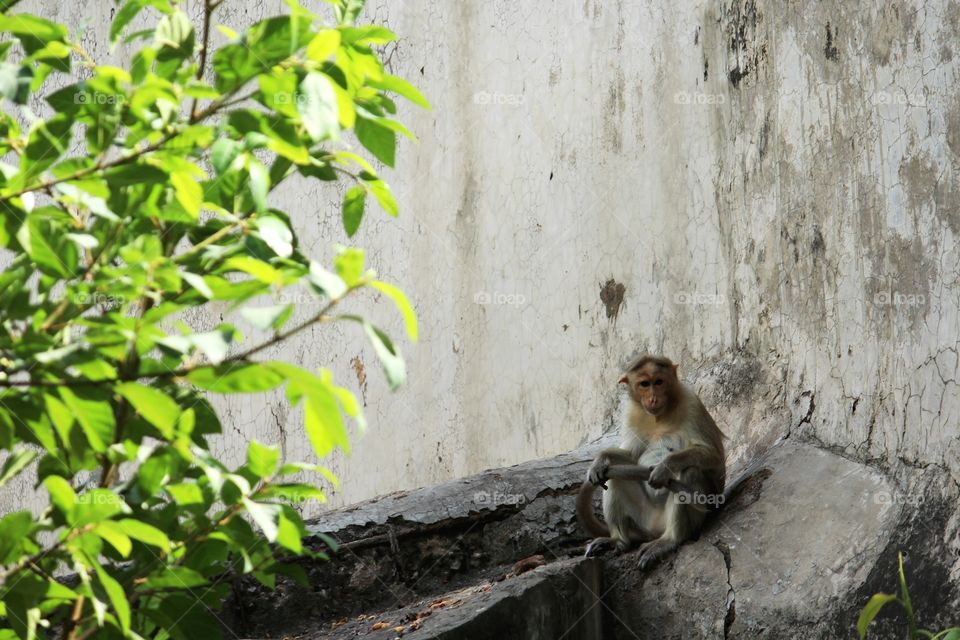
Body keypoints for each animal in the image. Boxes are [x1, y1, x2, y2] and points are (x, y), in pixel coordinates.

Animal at [576, 355, 725, 569]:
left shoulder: (691, 403)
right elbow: (631, 455)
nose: (653, 398)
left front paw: (665, 467)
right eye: (644, 384)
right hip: (643, 518)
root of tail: (655, 530)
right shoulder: (632, 413)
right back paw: (619, 541)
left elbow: (714, 457)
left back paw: (669, 540)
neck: (659, 416)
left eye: (659, 382)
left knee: (690, 471)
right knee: (613, 478)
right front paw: (599, 461)